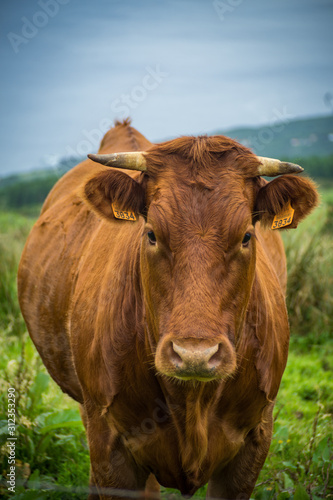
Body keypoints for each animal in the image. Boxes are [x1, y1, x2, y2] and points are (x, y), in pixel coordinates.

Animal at [17, 119, 316, 498]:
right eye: (151, 234)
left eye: (247, 236)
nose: (195, 355)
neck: (191, 401)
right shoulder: (110, 447)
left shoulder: (254, 442)